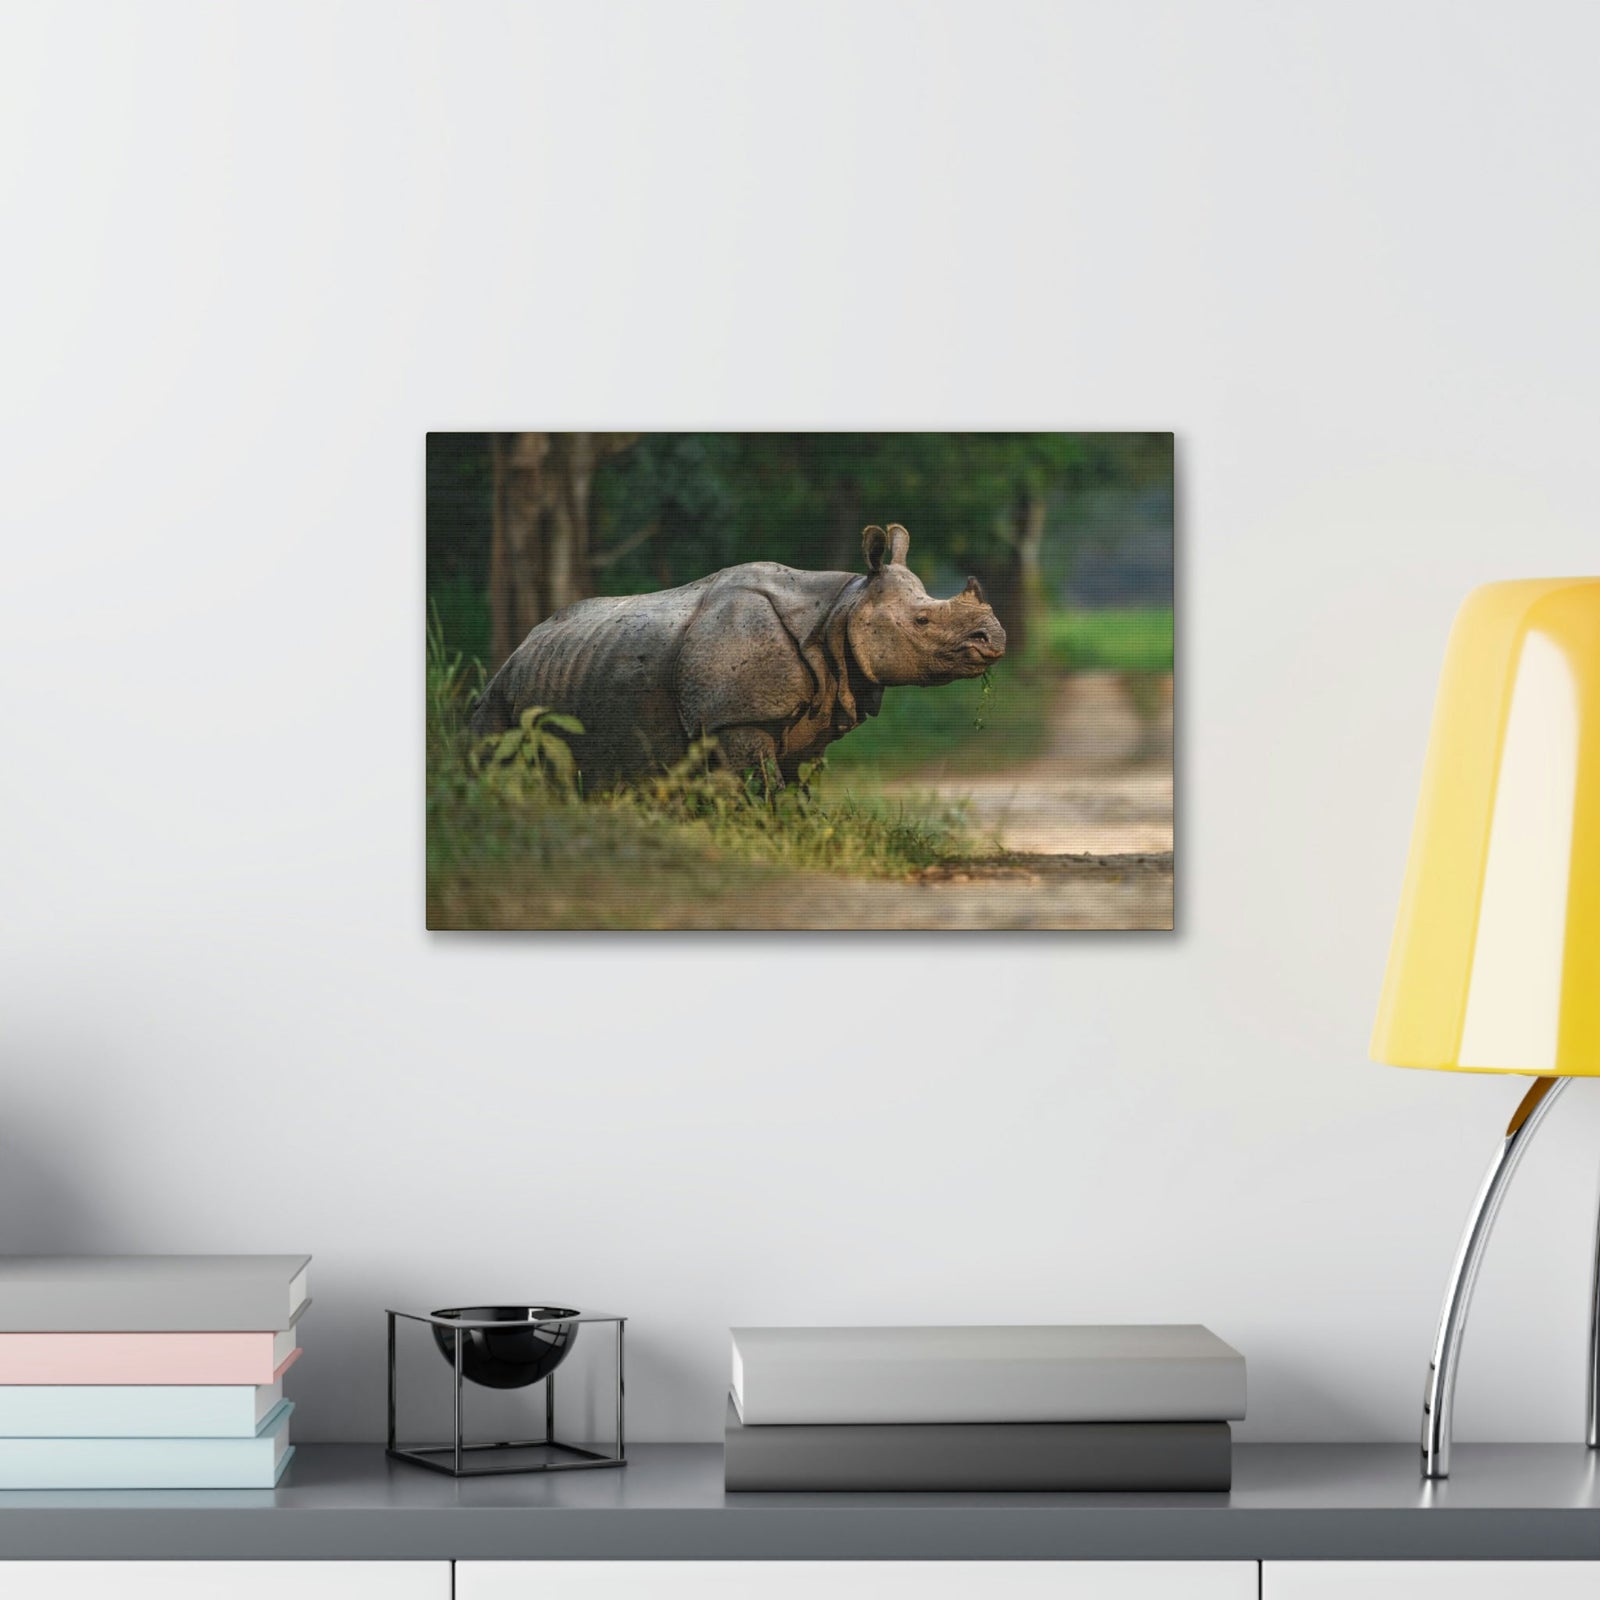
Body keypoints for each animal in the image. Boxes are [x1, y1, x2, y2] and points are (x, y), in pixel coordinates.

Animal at [469, 522, 1006, 788]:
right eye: (922, 622)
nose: (995, 638)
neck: (842, 610)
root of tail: (518, 649)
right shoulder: (736, 718)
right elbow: (761, 787)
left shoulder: (817, 712)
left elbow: (796, 788)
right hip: (499, 693)